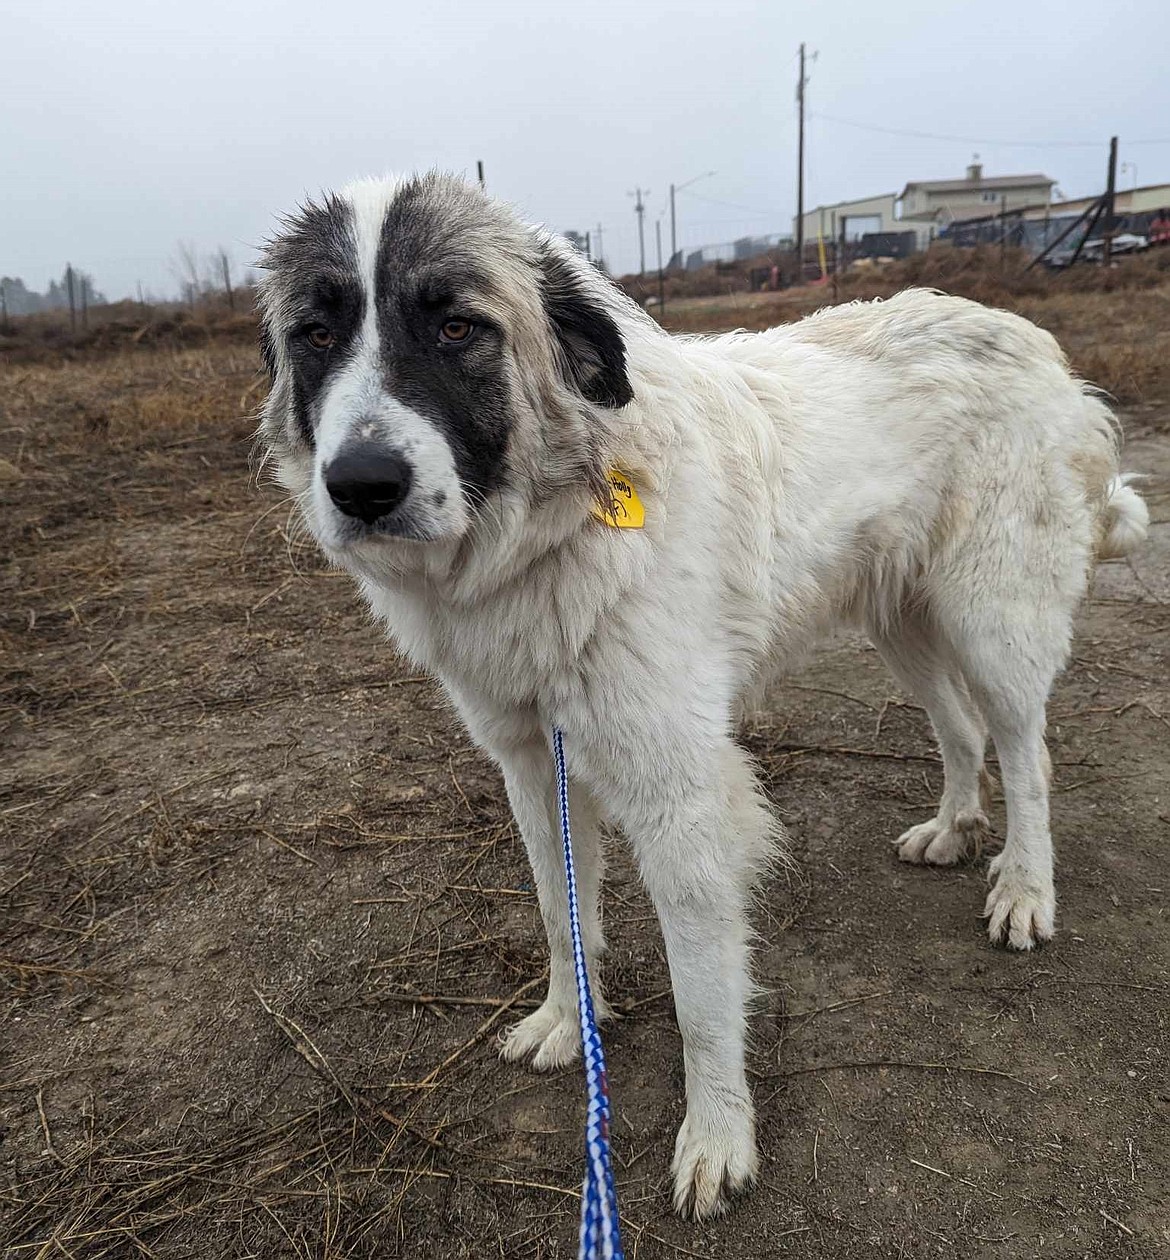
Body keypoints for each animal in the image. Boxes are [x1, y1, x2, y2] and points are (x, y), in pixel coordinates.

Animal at [253, 172, 1143, 1214]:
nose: (361, 485)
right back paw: (955, 827)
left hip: (990, 615)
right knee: (959, 729)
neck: (556, 527)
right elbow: (560, 912)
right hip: (901, 620)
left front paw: (717, 1133)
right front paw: (569, 1020)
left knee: (1026, 751)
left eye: (456, 326)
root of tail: (1029, 336)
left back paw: (1025, 887)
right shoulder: (531, 761)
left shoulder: (679, 791)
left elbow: (701, 998)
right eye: (317, 334)